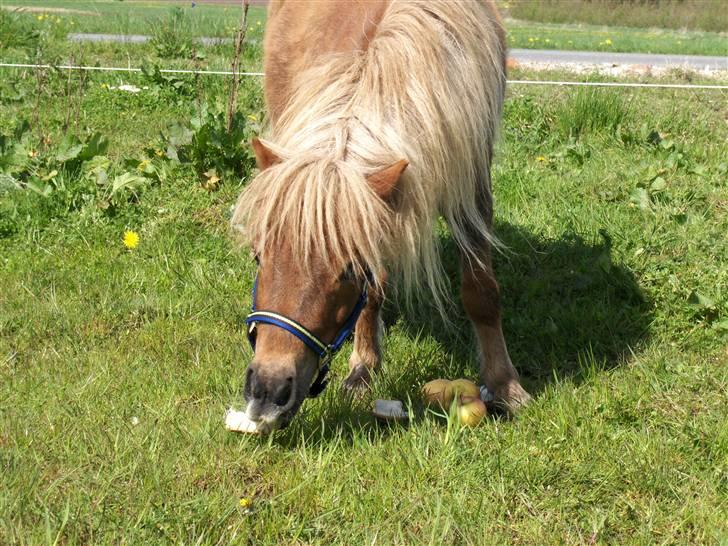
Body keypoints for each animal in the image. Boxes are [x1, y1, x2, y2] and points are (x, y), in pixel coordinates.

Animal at [232, 0, 528, 430]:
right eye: (259, 257)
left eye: (350, 270)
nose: (267, 391)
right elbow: (373, 294)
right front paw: (363, 369)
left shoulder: (470, 185)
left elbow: (481, 291)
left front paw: (505, 384)